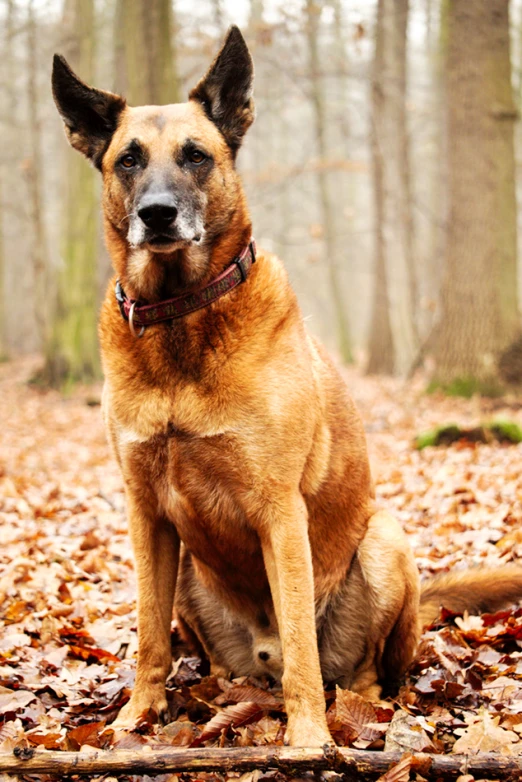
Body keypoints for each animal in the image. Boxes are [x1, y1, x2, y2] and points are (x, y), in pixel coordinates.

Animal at [49, 27, 522, 752]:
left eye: (196, 156)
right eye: (128, 160)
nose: (157, 216)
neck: (181, 319)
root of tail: (256, 666)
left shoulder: (279, 511)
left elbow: (301, 641)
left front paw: (307, 739)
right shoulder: (147, 513)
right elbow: (149, 633)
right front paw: (136, 719)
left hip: (384, 540)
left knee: (362, 669)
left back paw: (354, 704)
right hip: (189, 572)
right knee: (210, 652)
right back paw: (217, 689)